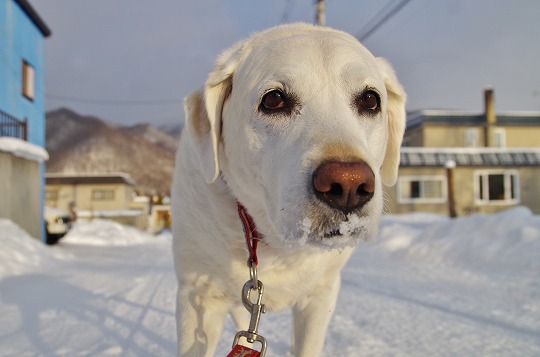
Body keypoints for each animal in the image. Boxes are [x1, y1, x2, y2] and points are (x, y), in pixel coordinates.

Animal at [173, 23, 404, 354]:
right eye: (274, 100)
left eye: (371, 100)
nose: (348, 183)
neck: (277, 244)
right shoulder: (198, 295)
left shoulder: (321, 294)